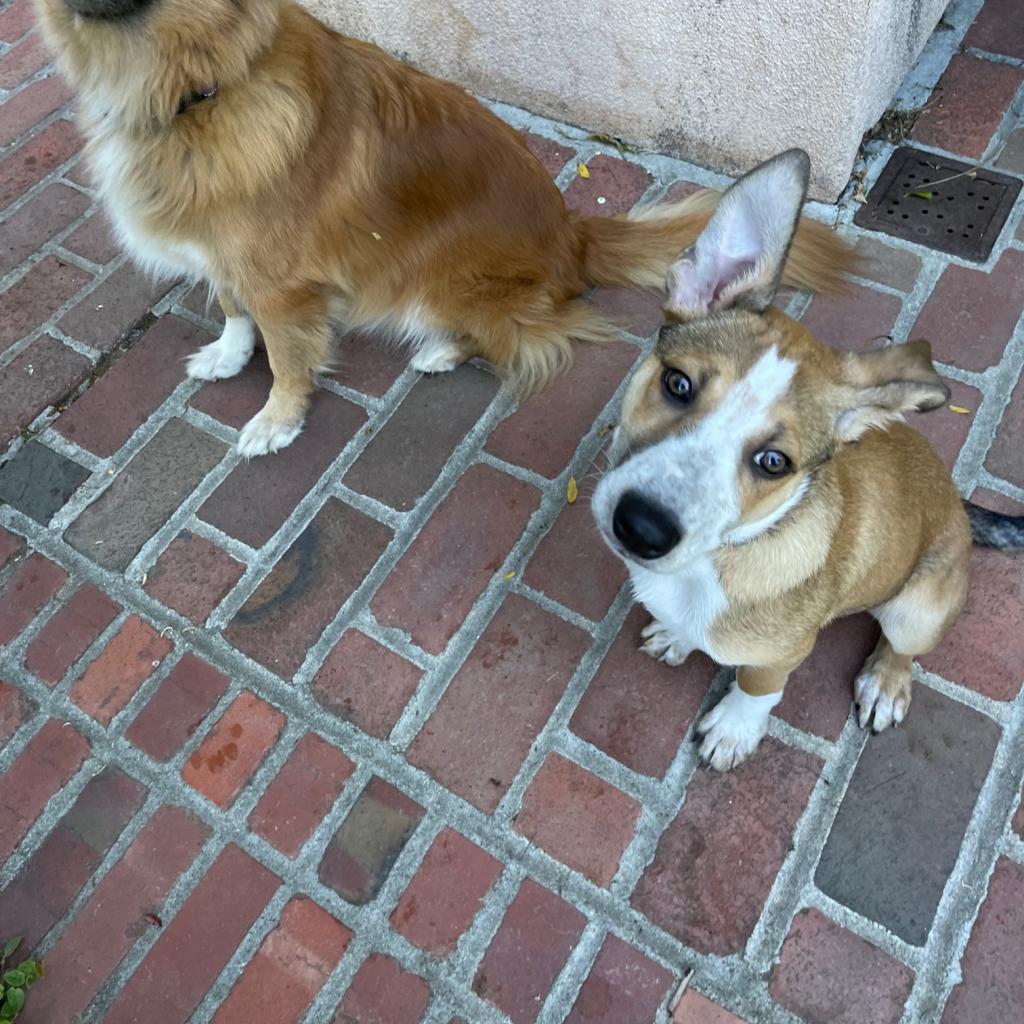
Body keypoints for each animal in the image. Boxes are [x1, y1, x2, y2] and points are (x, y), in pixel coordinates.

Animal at [34, 0, 856, 456]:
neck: (197, 86)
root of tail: (574, 233)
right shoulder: (226, 253)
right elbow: (235, 312)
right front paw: (229, 354)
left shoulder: (282, 282)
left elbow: (290, 356)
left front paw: (277, 418)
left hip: (437, 282)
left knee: (520, 334)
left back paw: (440, 351)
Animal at [593, 146, 1024, 770]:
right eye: (677, 384)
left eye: (774, 462)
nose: (641, 528)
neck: (718, 560)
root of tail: (959, 507)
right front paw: (678, 634)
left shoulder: (785, 652)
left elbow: (759, 686)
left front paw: (734, 728)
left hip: (916, 610)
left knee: (904, 648)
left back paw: (885, 681)